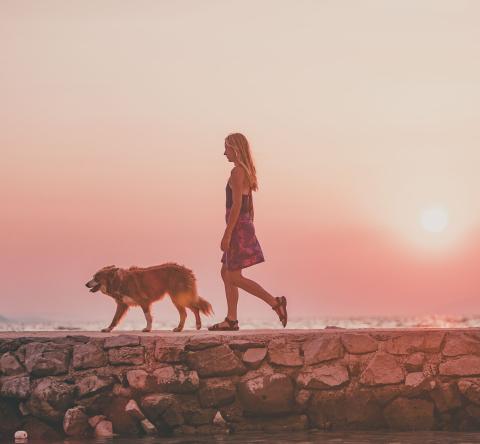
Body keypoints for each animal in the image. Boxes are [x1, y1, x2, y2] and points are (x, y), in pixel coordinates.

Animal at [84, 262, 212, 332]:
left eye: (96, 277)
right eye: (93, 276)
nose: (86, 284)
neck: (119, 281)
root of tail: (186, 270)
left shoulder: (144, 301)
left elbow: (147, 316)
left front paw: (147, 329)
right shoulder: (122, 304)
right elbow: (115, 319)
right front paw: (108, 329)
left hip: (178, 296)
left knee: (193, 309)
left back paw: (196, 325)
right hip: (177, 297)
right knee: (188, 311)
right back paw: (181, 328)